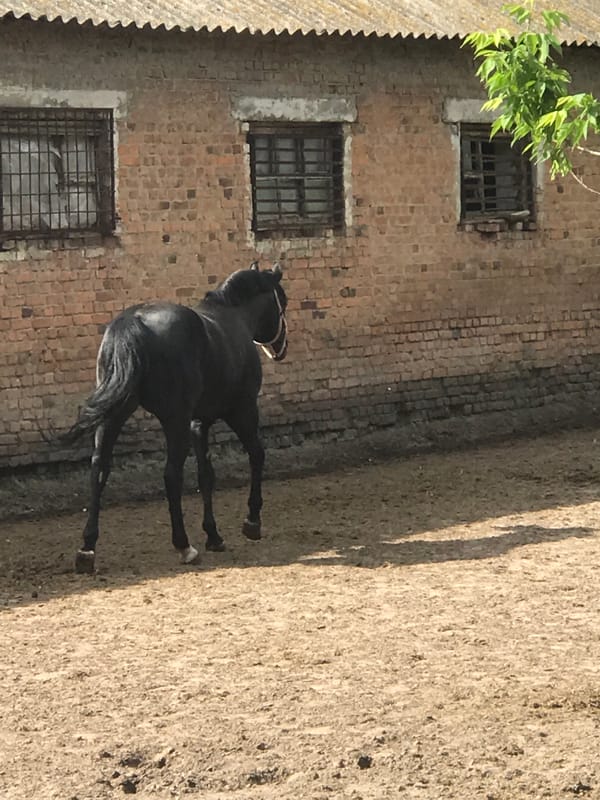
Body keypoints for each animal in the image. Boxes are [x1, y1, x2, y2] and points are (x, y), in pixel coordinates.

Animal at [62, 261, 288, 574]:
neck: (235, 318)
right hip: (174, 419)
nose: (281, 349)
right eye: (282, 302)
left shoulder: (198, 422)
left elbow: (206, 474)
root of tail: (134, 321)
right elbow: (256, 454)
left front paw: (214, 535)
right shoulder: (241, 410)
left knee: (99, 469)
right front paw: (251, 522)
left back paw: (87, 549)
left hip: (114, 415)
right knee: (171, 474)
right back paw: (184, 546)